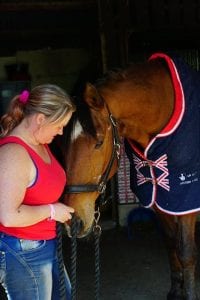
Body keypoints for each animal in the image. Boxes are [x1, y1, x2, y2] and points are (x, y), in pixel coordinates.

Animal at [60, 53, 200, 300]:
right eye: (63, 144)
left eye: (98, 142)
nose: (73, 222)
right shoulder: (159, 199)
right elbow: (170, 242)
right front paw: (176, 290)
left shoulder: (185, 199)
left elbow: (186, 252)